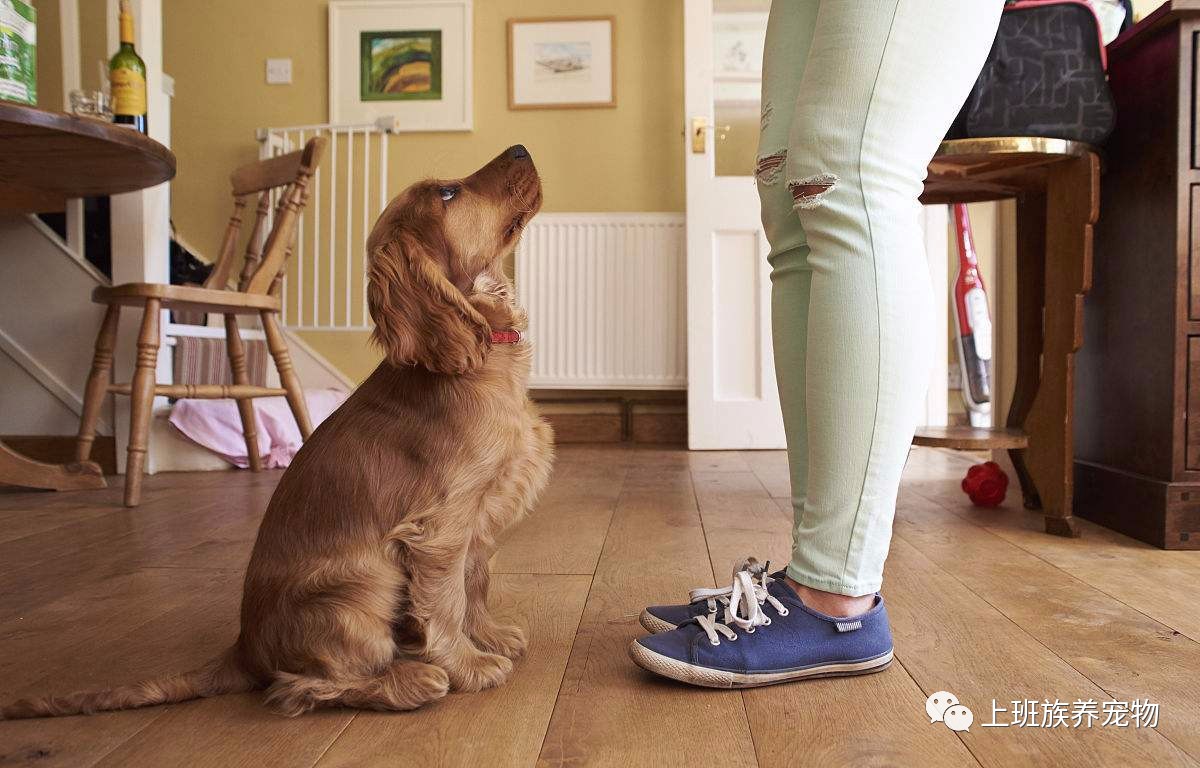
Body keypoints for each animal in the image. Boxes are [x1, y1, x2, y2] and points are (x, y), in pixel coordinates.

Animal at [2, 144, 554, 720]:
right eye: (448, 193)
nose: (521, 147)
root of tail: (244, 648)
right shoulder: (440, 526)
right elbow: (446, 599)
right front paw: (470, 664)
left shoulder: (480, 517)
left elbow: (476, 580)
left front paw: (489, 635)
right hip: (361, 591)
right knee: (300, 686)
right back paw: (412, 680)